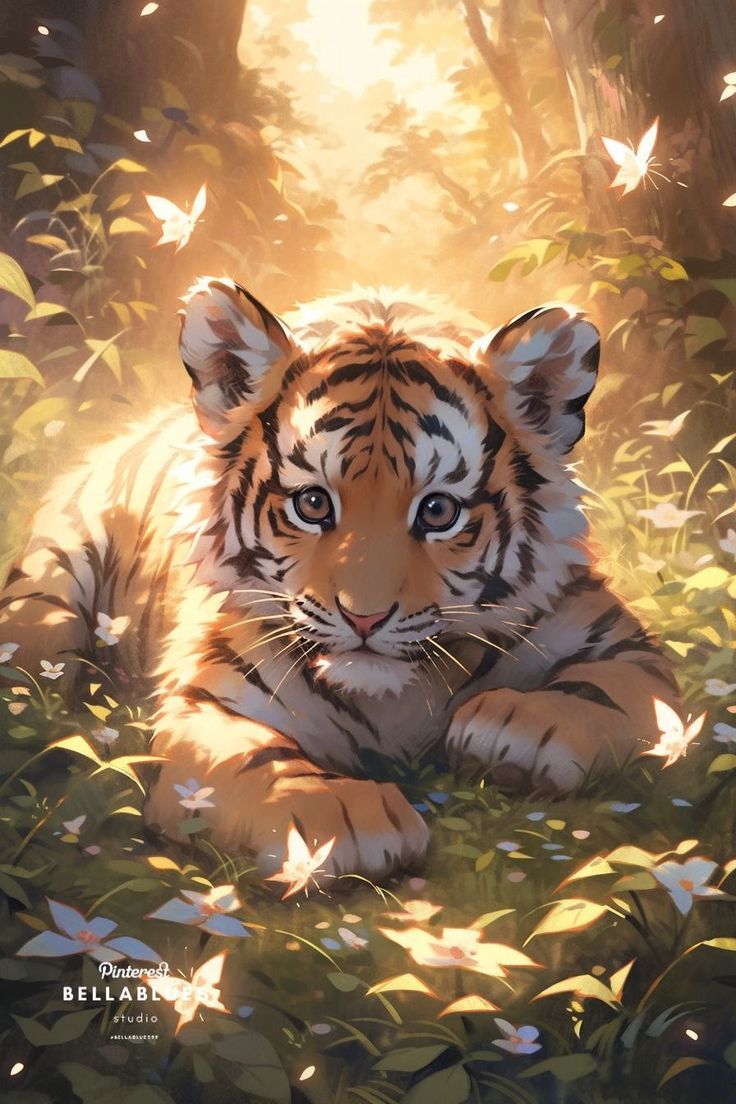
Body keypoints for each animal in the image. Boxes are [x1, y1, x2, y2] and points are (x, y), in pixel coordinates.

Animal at [0, 277, 680, 883]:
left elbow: (611, 691)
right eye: (312, 504)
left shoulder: (622, 642)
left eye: (438, 511)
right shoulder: (207, 701)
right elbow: (255, 757)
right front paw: (340, 818)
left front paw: (517, 727)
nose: (364, 617)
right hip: (50, 586)